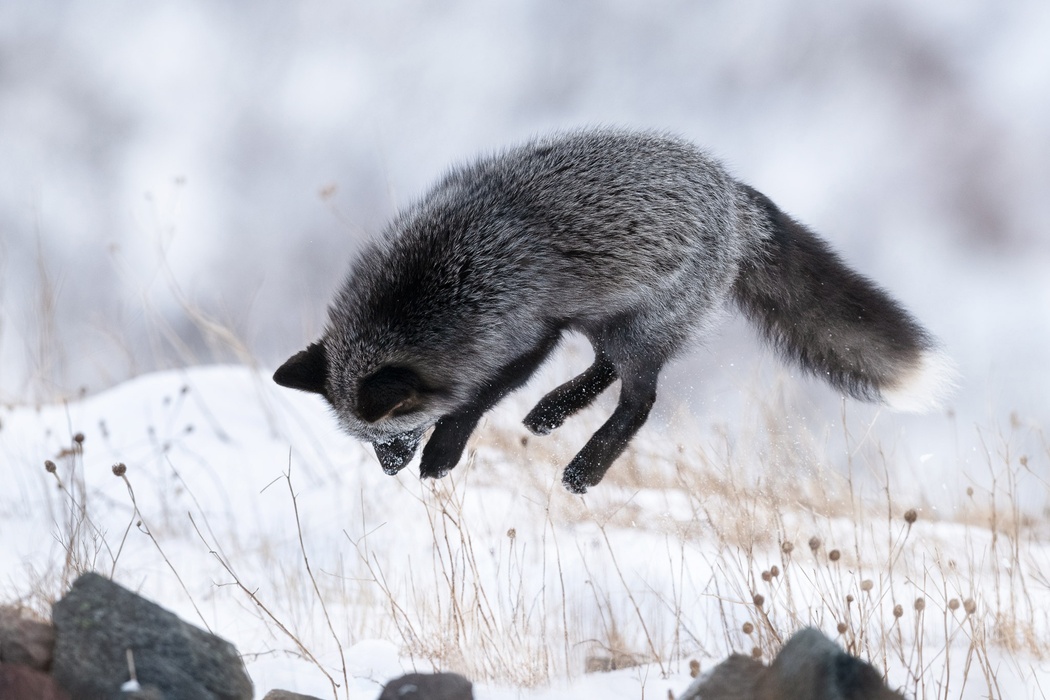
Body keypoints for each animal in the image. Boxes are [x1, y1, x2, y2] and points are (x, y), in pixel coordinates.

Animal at [275, 130, 957, 493]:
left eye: (392, 435)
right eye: (364, 441)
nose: (389, 470)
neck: (444, 275)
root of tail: (735, 195)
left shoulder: (528, 331)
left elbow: (475, 399)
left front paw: (442, 456)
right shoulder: (547, 325)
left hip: (640, 330)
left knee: (639, 401)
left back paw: (584, 468)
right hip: (606, 317)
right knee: (605, 370)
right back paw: (550, 415)